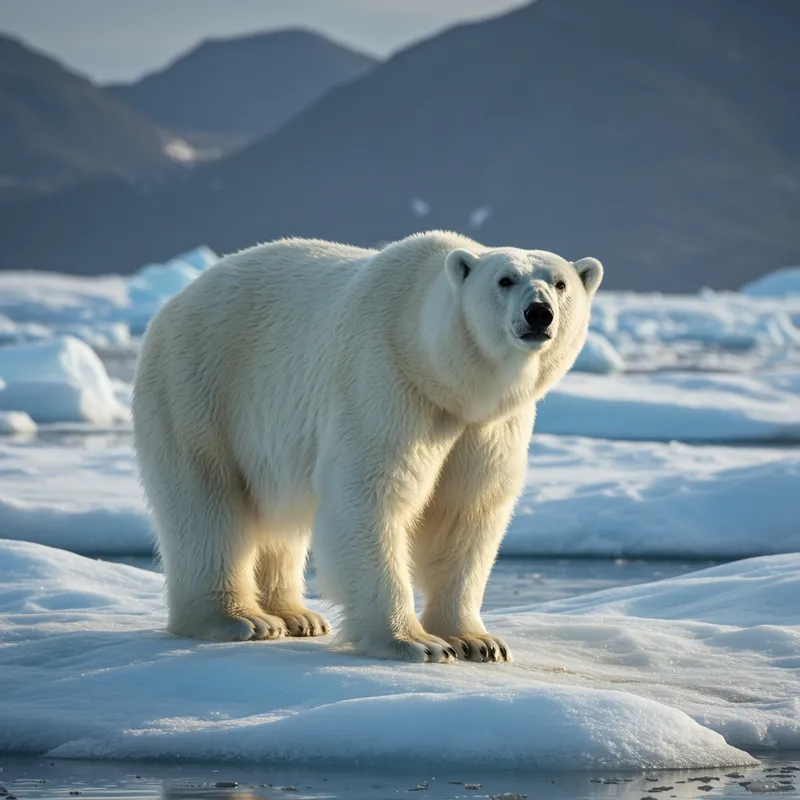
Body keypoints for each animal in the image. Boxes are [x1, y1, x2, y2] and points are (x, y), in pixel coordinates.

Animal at [132, 231, 603, 663]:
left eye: (560, 283)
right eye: (505, 280)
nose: (538, 312)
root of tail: (176, 300)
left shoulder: (487, 426)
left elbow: (467, 510)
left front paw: (477, 641)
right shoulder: (387, 379)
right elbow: (371, 493)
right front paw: (415, 642)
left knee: (279, 518)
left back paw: (297, 615)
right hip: (201, 387)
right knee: (207, 501)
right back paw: (240, 618)